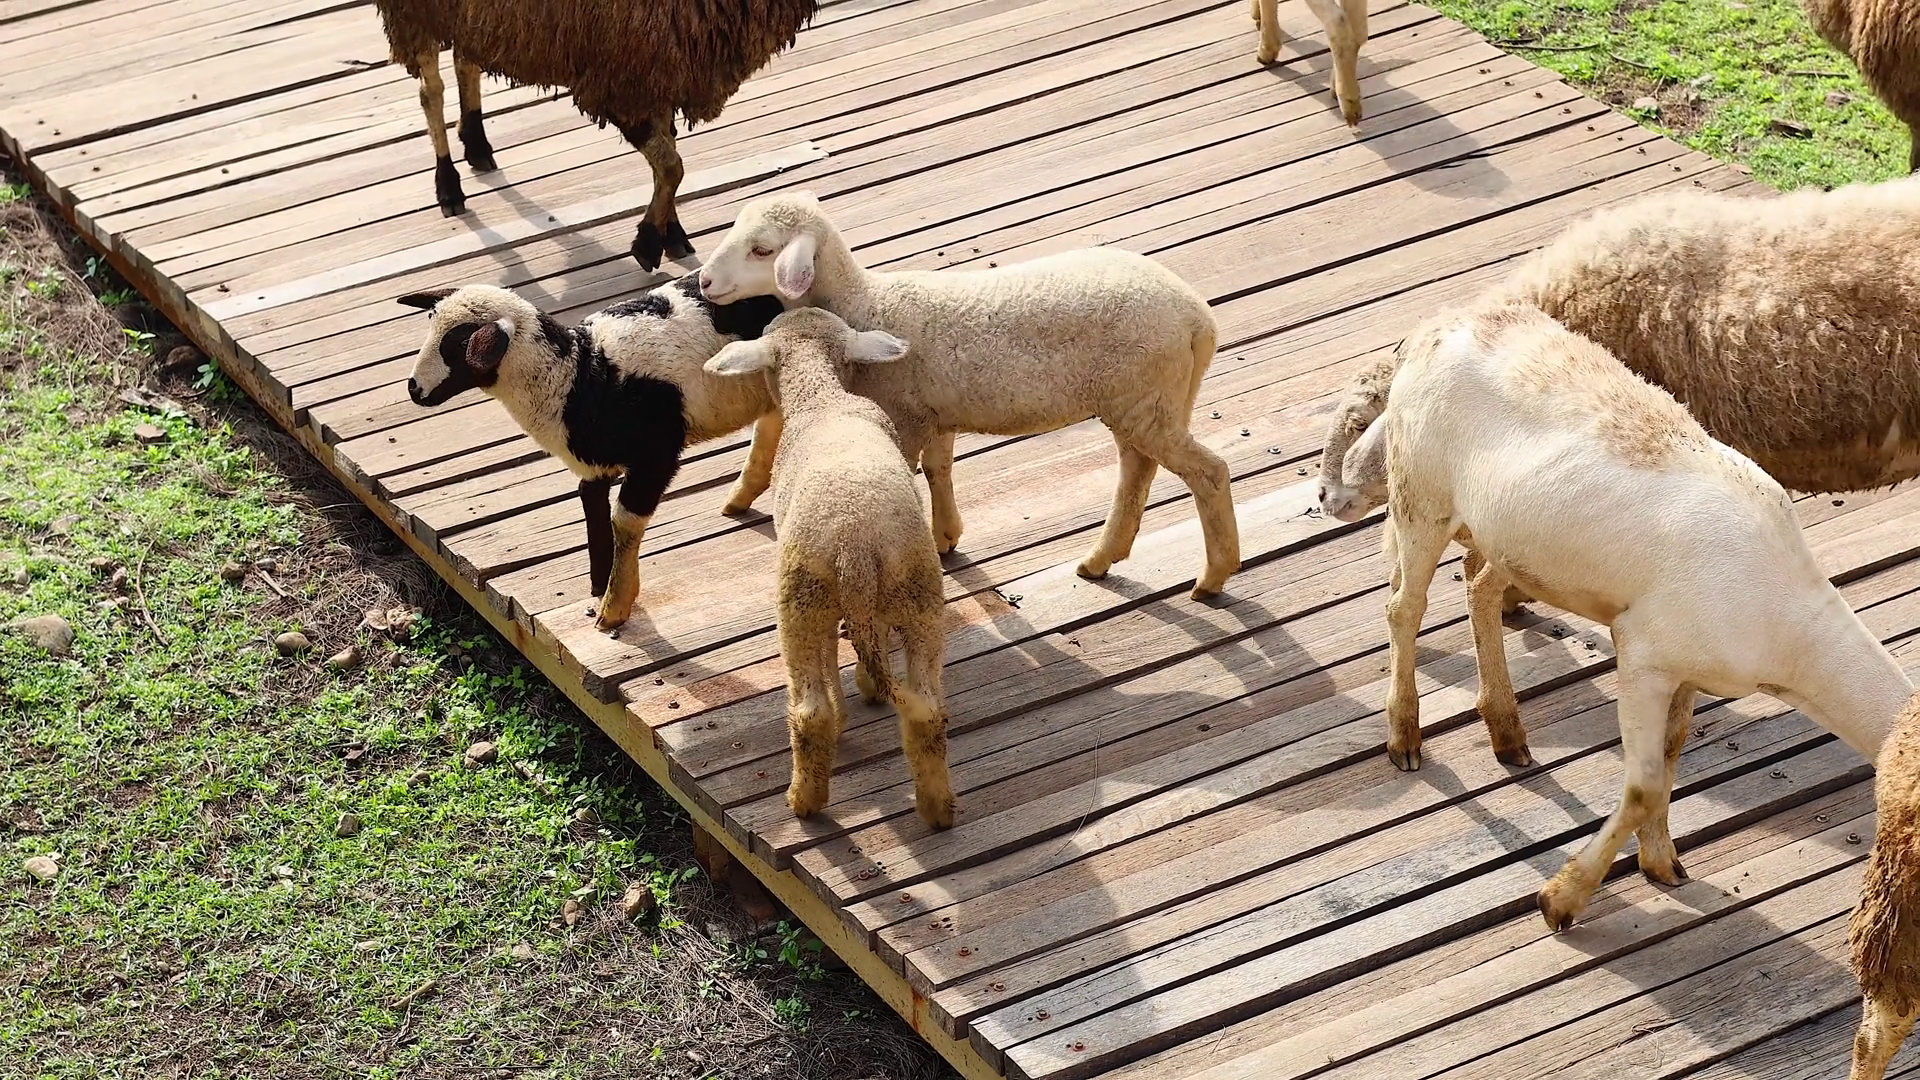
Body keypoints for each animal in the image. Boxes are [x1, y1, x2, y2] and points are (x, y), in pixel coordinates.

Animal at [372, 0, 820, 270]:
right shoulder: (624, 81)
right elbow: (672, 166)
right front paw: (647, 244)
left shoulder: (657, 77)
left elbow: (667, 163)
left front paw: (670, 234)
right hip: (412, 13)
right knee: (430, 92)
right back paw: (448, 185)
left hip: (467, 19)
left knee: (467, 60)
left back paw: (477, 143)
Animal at [399, 276, 786, 630]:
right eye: (431, 322)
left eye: (462, 342)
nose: (414, 389)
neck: (577, 375)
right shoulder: (594, 466)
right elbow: (592, 511)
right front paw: (600, 586)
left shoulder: (656, 454)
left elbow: (624, 522)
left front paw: (614, 607)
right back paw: (739, 499)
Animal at [696, 190, 1242, 599]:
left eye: (762, 250)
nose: (703, 281)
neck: (864, 303)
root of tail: (1199, 319)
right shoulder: (933, 411)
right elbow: (939, 470)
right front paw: (946, 537)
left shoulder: (905, 413)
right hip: (1145, 399)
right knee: (1138, 468)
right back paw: (1102, 558)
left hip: (1146, 396)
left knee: (1208, 472)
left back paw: (1214, 576)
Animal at [702, 307, 954, 828]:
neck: (821, 397)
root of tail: (855, 546)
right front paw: (868, 683)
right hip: (918, 587)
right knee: (926, 707)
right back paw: (938, 809)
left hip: (801, 599)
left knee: (810, 711)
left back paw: (805, 799)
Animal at [1353, 303, 1913, 932]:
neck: (1790, 638)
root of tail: (1440, 323)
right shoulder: (1644, 652)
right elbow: (1644, 783)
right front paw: (1561, 900)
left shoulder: (1689, 669)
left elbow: (1669, 759)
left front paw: (1660, 859)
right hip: (1420, 490)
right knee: (1404, 606)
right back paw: (1404, 736)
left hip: (1509, 536)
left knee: (1477, 586)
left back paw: (1507, 731)